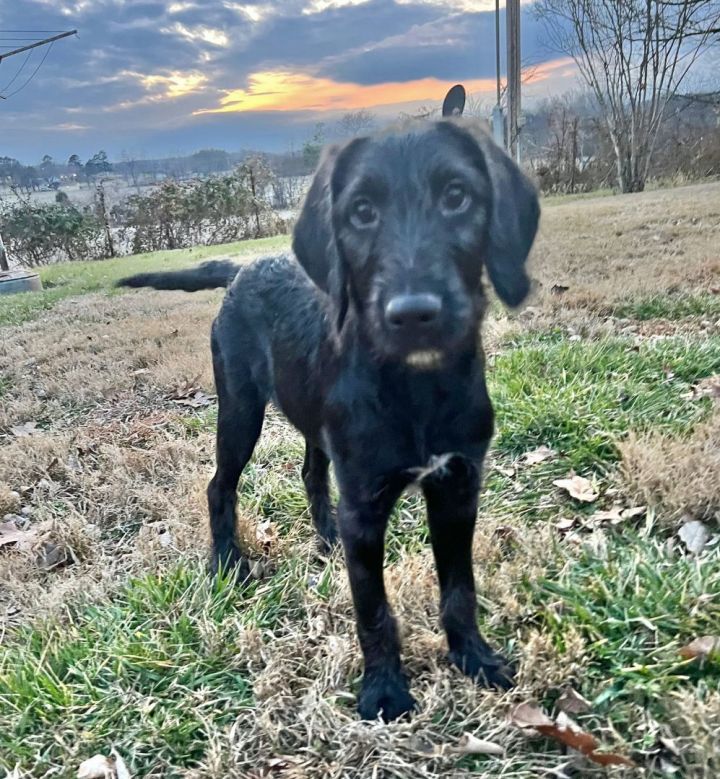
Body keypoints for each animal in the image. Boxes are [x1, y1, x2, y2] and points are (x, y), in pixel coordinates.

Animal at [118, 119, 536, 724]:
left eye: (457, 196)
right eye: (361, 211)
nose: (414, 314)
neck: (415, 385)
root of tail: (243, 266)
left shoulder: (458, 488)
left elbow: (459, 587)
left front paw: (474, 658)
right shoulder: (363, 502)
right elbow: (373, 609)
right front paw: (384, 690)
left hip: (313, 419)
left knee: (310, 473)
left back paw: (323, 536)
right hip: (239, 411)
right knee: (219, 485)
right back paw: (228, 563)